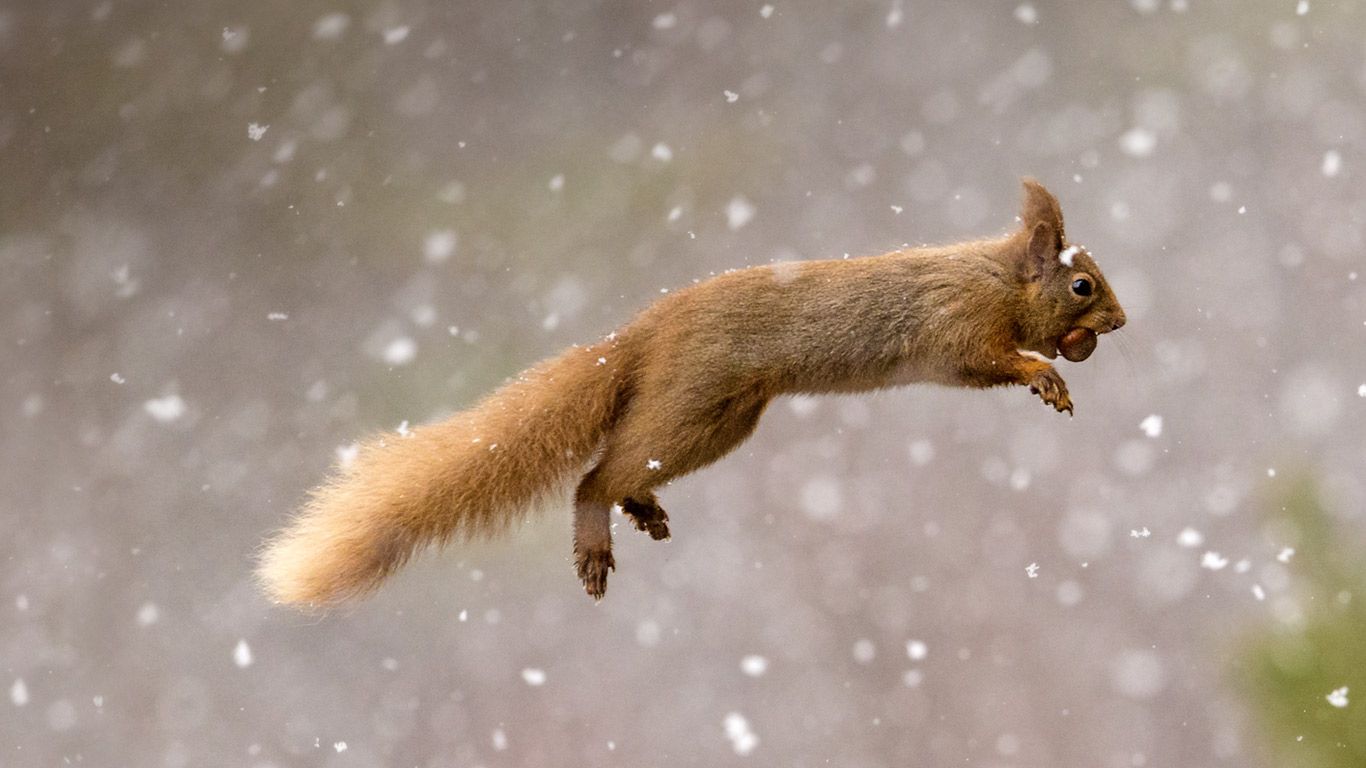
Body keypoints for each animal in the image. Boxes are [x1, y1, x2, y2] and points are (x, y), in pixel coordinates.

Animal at [258, 180, 1131, 604]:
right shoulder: (957, 325)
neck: (998, 277)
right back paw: (597, 537)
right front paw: (1044, 376)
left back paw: (640, 510)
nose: (1120, 322)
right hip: (693, 403)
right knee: (593, 475)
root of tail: (640, 336)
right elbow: (990, 359)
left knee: (623, 467)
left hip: (721, 421)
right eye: (1082, 285)